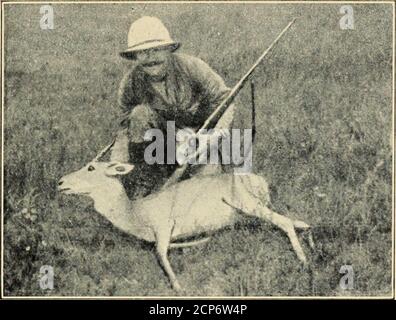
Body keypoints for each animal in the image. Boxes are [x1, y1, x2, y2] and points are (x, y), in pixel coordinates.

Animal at [58, 146, 312, 292]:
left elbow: (160, 255)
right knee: (297, 222)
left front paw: (179, 288)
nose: (60, 182)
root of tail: (258, 179)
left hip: (247, 205)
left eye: (91, 167)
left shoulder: (163, 228)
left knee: (285, 222)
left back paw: (303, 260)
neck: (135, 211)